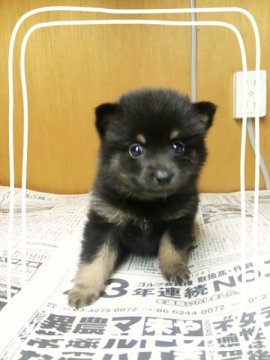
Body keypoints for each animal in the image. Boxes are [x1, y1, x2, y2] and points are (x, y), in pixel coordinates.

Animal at [68, 87, 216, 306]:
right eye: (135, 149)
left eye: (178, 146)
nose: (163, 176)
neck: (147, 202)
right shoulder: (103, 221)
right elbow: (94, 258)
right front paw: (84, 289)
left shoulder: (180, 219)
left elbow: (172, 247)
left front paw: (175, 269)